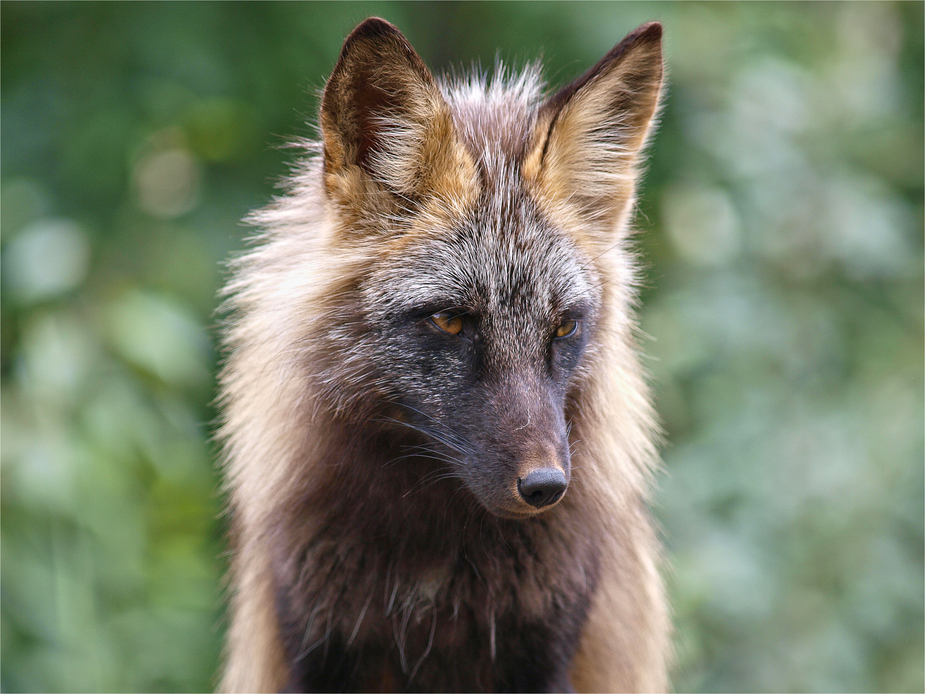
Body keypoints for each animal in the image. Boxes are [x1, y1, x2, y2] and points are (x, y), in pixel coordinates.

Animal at [219, 16, 672, 694]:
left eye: (564, 327)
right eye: (450, 320)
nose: (546, 487)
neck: (432, 583)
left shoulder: (547, 646)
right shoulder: (315, 639)